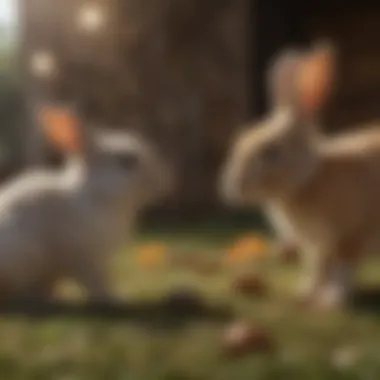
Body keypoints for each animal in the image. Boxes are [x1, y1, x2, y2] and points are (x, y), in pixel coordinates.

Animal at [0, 103, 174, 300]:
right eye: (127, 161)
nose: (168, 179)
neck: (95, 195)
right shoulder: (83, 259)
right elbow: (93, 282)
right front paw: (110, 297)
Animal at [220, 40, 380, 308]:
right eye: (242, 138)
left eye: (271, 152)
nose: (232, 188)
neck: (310, 178)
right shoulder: (317, 247)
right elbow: (318, 269)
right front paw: (305, 292)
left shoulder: (352, 235)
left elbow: (343, 269)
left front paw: (331, 301)